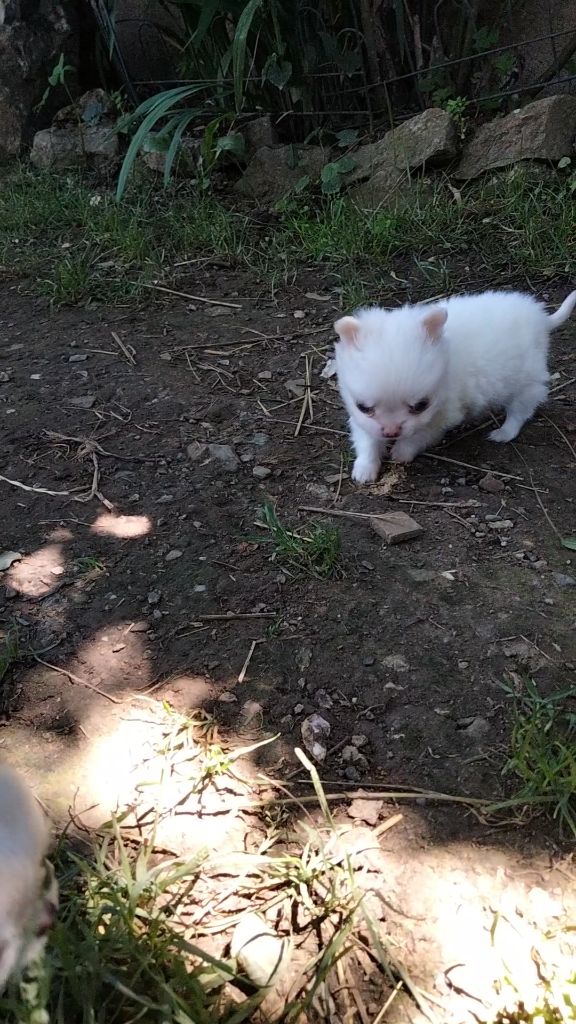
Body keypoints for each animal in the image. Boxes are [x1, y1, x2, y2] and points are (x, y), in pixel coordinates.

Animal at [332, 286, 573, 481]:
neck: (447, 361)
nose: (392, 431)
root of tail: (541, 318)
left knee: (520, 411)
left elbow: (417, 437)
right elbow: (367, 440)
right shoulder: (360, 417)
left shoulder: (441, 418)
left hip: (526, 382)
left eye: (421, 406)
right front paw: (365, 468)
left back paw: (503, 432)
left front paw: (401, 452)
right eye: (364, 407)